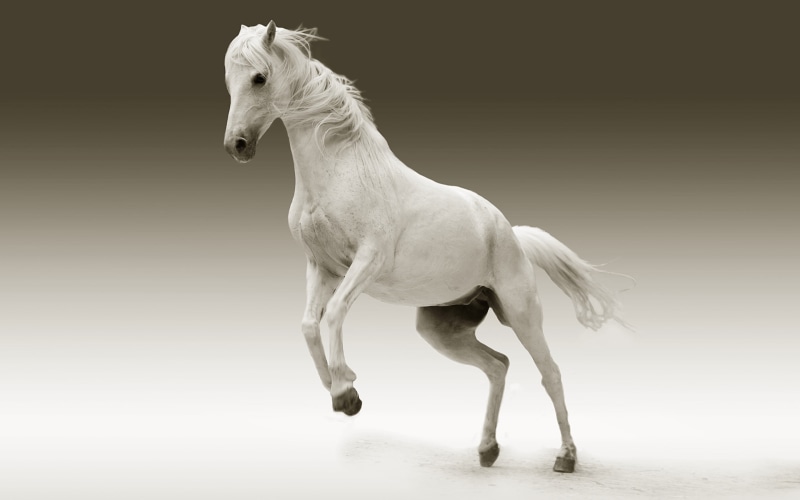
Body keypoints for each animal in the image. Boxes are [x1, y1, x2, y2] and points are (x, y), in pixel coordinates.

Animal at [223, 21, 628, 473]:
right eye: (229, 80)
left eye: (259, 77)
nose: (236, 145)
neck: (342, 171)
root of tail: (511, 234)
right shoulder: (321, 267)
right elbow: (309, 325)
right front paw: (343, 393)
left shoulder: (367, 261)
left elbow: (335, 314)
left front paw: (345, 391)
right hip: (442, 328)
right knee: (498, 366)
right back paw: (487, 449)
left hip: (521, 314)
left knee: (551, 373)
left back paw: (566, 457)